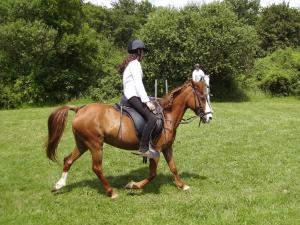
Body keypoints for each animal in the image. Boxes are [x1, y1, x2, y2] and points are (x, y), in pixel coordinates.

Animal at [45, 79, 212, 199]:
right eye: (202, 98)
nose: (209, 117)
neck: (167, 116)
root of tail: (79, 109)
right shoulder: (155, 150)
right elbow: (152, 174)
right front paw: (133, 185)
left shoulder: (167, 147)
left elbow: (173, 168)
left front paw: (183, 185)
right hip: (95, 144)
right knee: (96, 167)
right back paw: (111, 192)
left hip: (82, 144)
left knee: (68, 160)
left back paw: (59, 185)